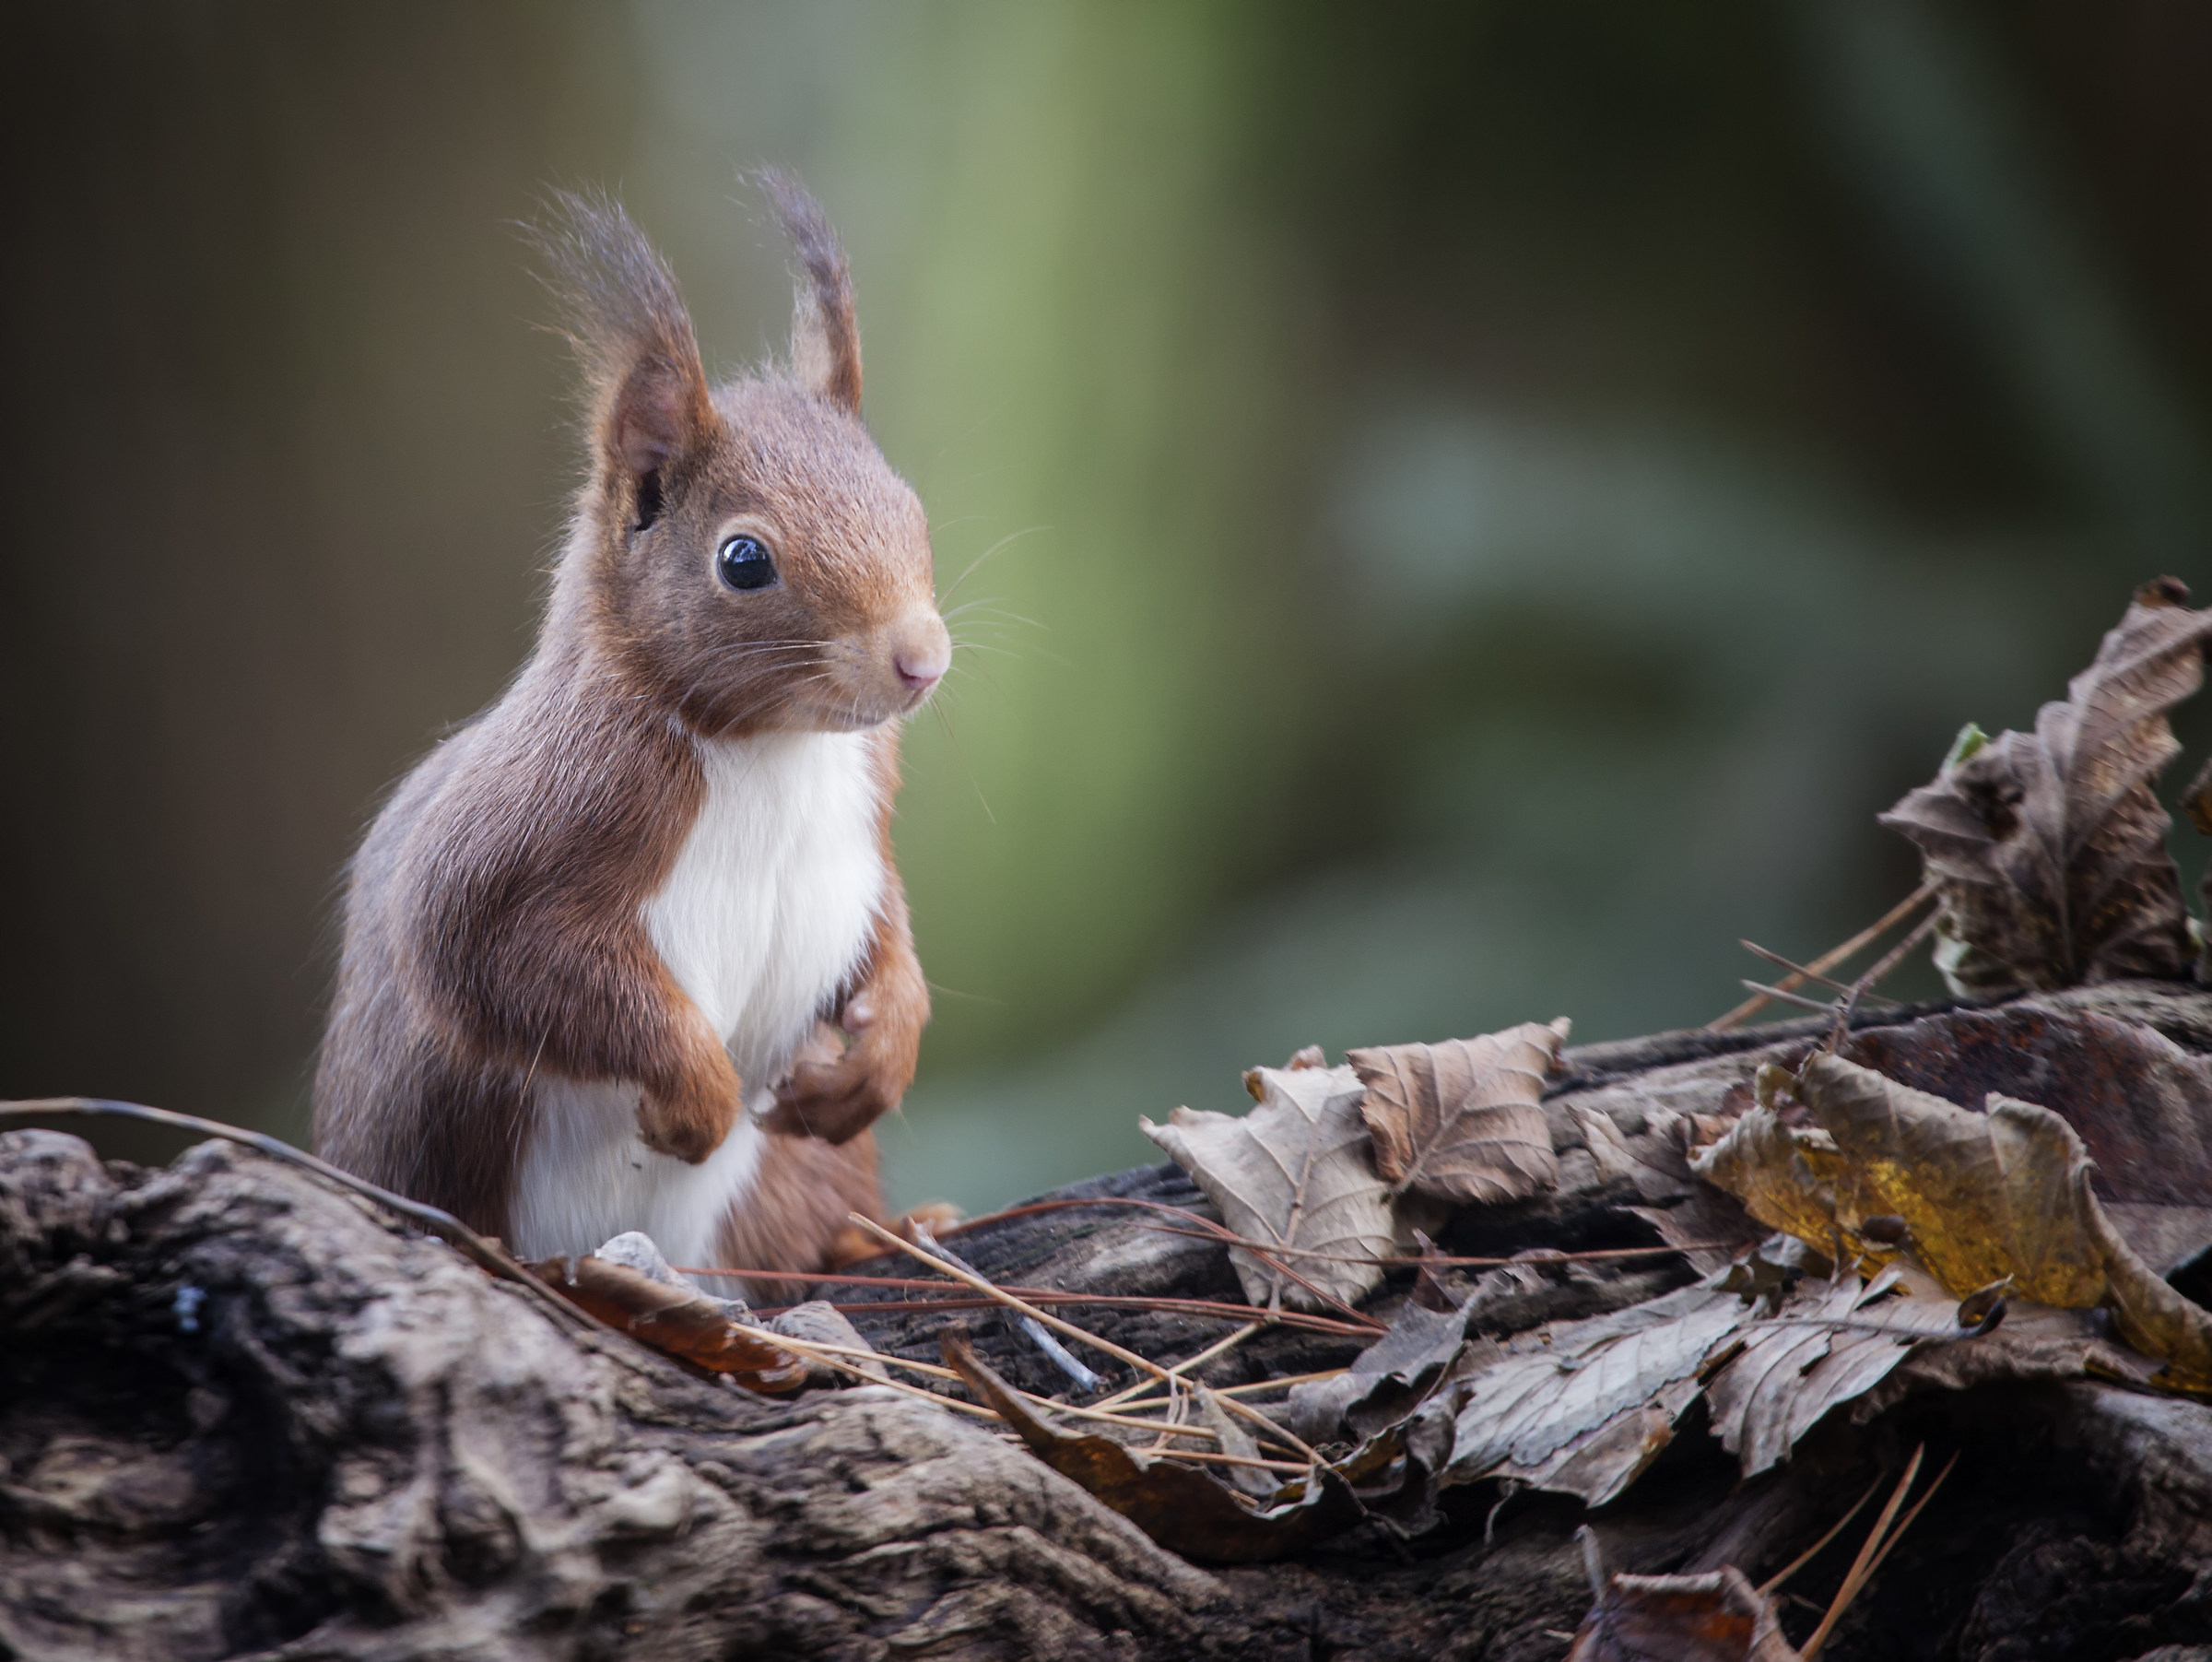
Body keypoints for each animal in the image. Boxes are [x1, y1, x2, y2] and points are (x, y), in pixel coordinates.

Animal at [313, 175, 948, 1276]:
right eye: (744, 559)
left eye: (909, 507)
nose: (922, 659)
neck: (773, 746)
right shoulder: (537, 822)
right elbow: (498, 956)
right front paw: (697, 1097)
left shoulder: (867, 812)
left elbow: (889, 933)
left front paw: (883, 1050)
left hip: (788, 1183)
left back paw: (884, 1234)